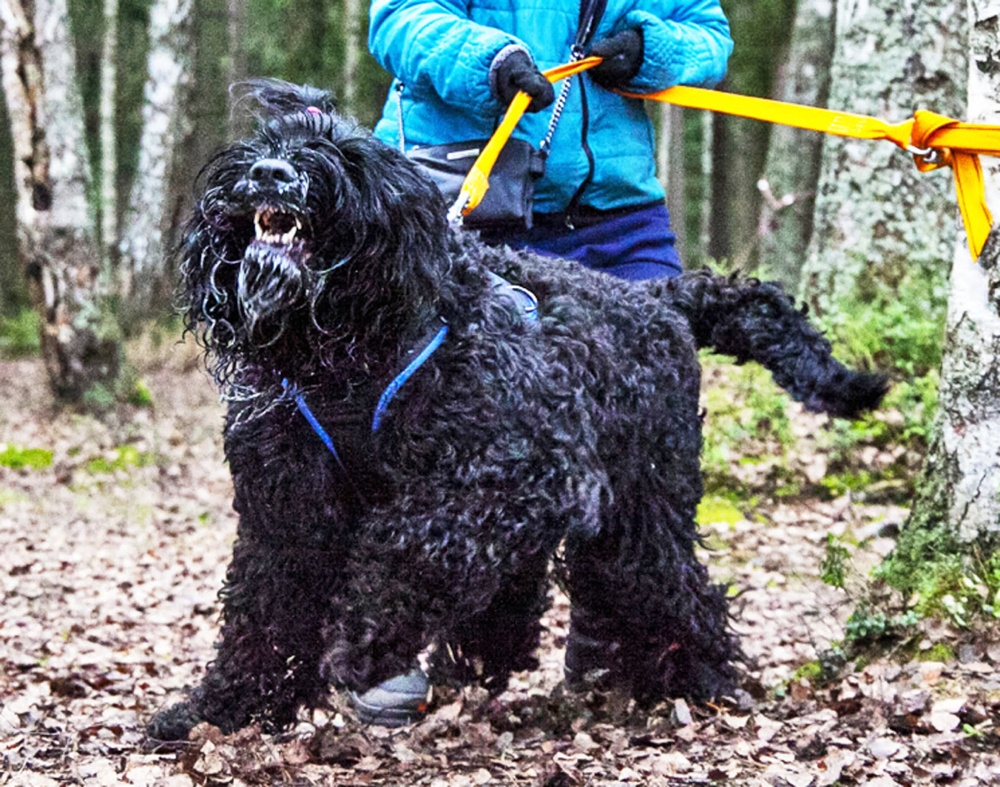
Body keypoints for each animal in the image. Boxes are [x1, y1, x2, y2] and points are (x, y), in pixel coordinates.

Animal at [146, 80, 884, 740]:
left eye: (345, 155)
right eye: (271, 142)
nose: (270, 173)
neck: (347, 346)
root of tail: (662, 299)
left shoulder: (512, 473)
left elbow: (409, 548)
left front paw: (364, 639)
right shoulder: (288, 506)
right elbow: (262, 612)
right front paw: (220, 708)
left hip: (642, 502)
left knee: (673, 585)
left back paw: (701, 678)